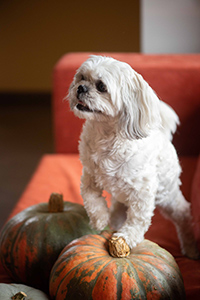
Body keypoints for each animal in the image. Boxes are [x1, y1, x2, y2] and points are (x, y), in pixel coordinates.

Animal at [68, 55, 198, 258]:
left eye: (101, 86)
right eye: (81, 78)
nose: (80, 88)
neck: (106, 136)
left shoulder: (142, 192)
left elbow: (138, 219)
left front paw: (126, 237)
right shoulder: (90, 177)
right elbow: (92, 200)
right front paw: (100, 220)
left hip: (166, 195)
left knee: (183, 212)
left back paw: (191, 247)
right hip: (122, 201)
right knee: (118, 213)